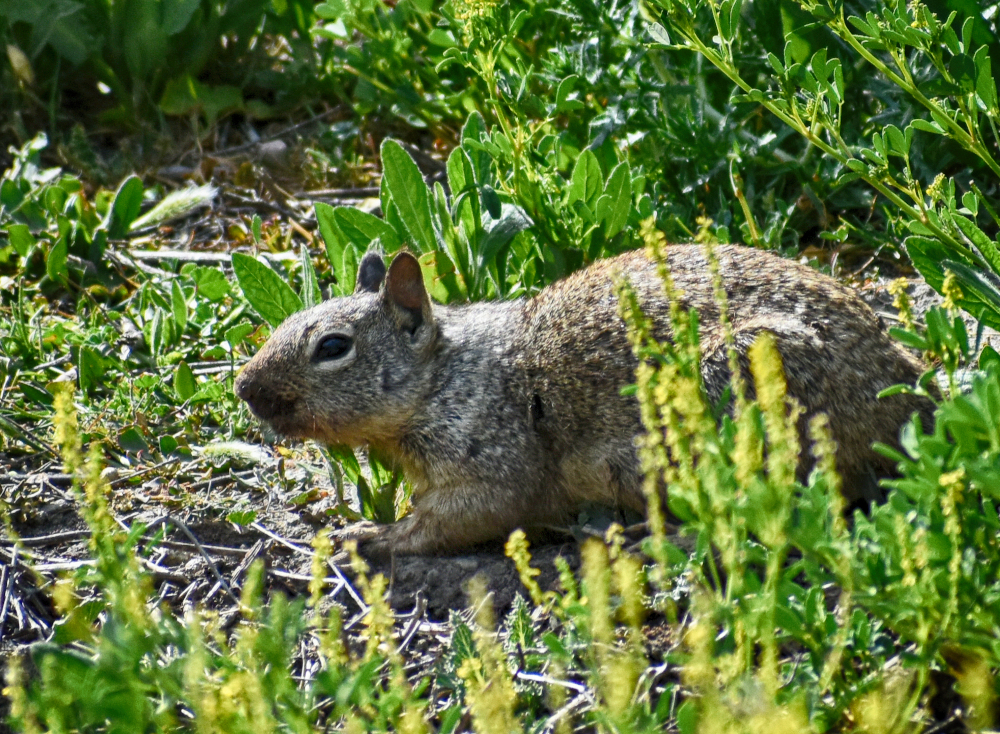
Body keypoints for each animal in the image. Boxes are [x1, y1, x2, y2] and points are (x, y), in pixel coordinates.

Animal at [235, 245, 934, 556]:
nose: (244, 387)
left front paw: (366, 536)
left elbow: (445, 524)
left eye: (332, 346)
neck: (446, 377)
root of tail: (905, 404)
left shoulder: (489, 465)